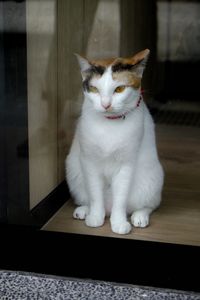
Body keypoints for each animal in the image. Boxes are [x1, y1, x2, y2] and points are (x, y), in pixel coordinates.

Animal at [65, 49, 164, 234]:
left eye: (119, 89)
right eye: (94, 89)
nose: (105, 104)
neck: (110, 123)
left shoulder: (127, 164)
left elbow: (121, 198)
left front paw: (118, 223)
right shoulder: (89, 161)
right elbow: (95, 195)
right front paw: (95, 217)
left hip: (153, 177)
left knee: (149, 205)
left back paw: (140, 216)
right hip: (74, 172)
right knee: (90, 198)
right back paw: (85, 210)